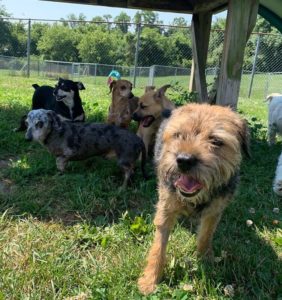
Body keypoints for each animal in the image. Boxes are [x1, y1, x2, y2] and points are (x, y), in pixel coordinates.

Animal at [138, 103, 250, 296]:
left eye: (216, 141)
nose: (184, 160)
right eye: (178, 135)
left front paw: (205, 259)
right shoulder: (165, 210)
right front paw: (150, 280)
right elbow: (158, 247)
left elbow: (206, 235)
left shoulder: (214, 212)